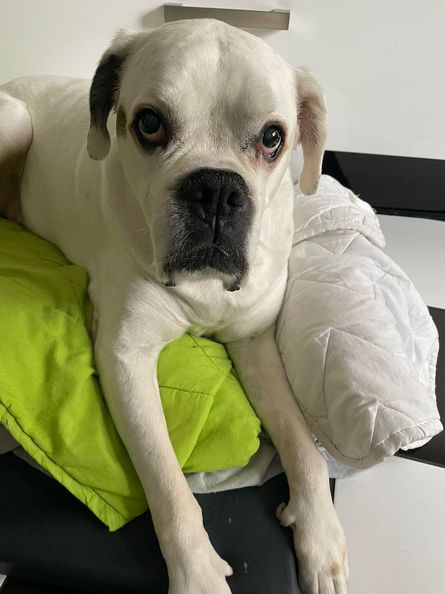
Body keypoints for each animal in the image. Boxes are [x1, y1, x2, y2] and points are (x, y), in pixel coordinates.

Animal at [0, 19, 348, 594]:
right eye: (149, 124)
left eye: (272, 138)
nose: (216, 188)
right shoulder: (126, 360)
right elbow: (167, 482)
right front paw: (197, 573)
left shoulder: (255, 345)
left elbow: (302, 445)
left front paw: (321, 537)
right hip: (14, 121)